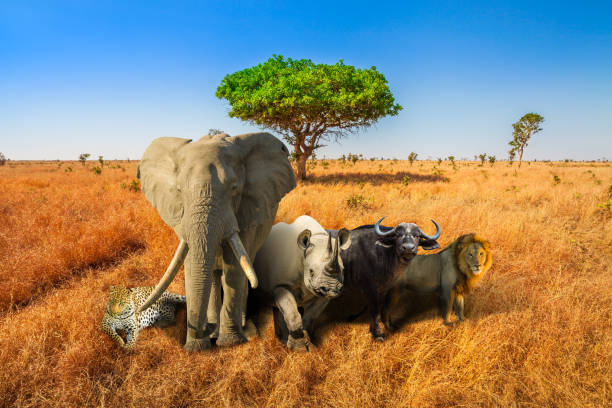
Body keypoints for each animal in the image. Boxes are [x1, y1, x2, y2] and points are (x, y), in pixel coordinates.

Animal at [137, 133, 296, 350]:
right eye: (179, 189)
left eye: (234, 189)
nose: (203, 330)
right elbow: (190, 264)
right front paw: (198, 346)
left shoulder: (246, 214)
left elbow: (234, 268)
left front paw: (230, 343)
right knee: (213, 275)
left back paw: (240, 326)